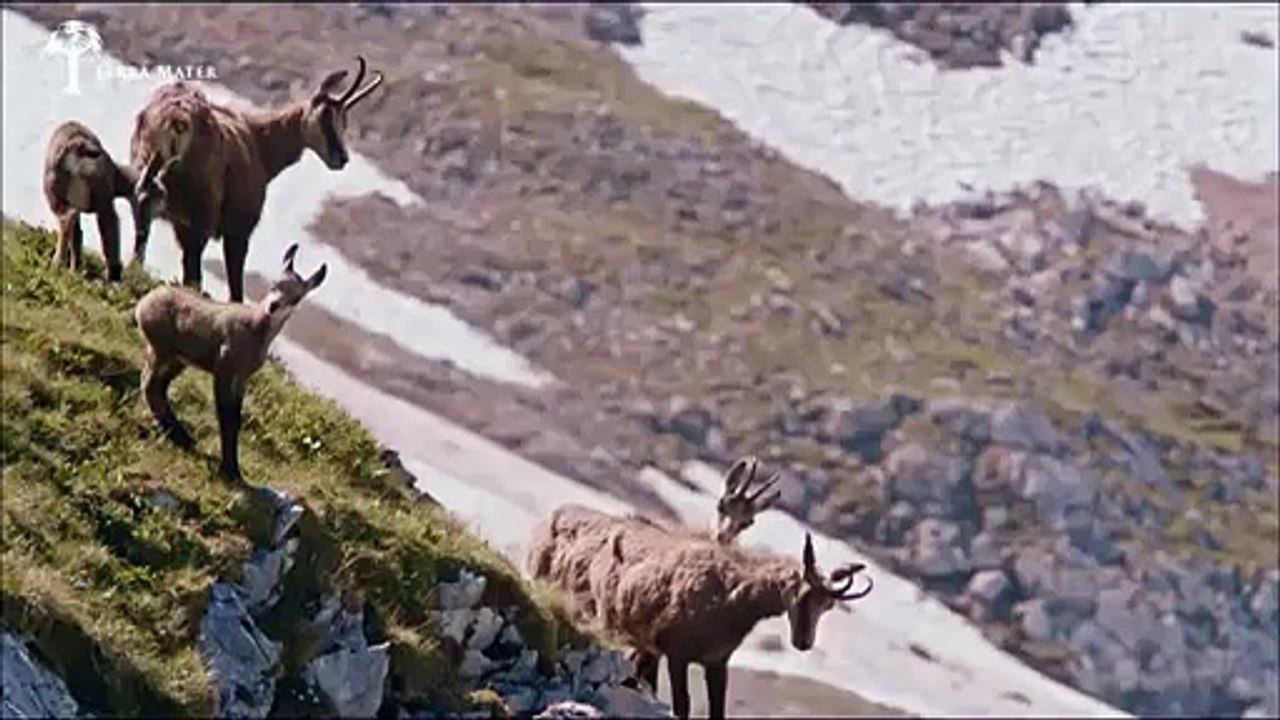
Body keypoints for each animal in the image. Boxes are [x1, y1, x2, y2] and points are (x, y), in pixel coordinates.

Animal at [43, 120, 163, 282]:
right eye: (147, 198)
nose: (143, 232)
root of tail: (79, 146)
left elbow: (78, 234)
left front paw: (75, 271)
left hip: (61, 196)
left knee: (70, 219)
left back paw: (58, 267)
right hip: (96, 197)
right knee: (105, 222)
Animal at [129, 56, 383, 302]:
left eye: (344, 121)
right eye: (326, 116)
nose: (342, 158)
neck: (259, 143)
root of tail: (176, 120)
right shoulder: (239, 225)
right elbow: (235, 284)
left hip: (148, 170)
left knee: (145, 208)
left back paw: (135, 269)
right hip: (201, 204)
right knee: (192, 257)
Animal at [133, 243, 327, 482]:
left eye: (296, 297)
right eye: (274, 284)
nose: (273, 306)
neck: (255, 330)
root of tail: (144, 302)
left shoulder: (242, 377)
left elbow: (236, 416)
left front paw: (233, 468)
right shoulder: (225, 368)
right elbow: (227, 416)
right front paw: (229, 469)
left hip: (178, 358)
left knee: (157, 385)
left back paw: (178, 433)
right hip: (162, 349)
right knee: (149, 382)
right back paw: (174, 433)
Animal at [602, 531, 872, 720]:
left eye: (827, 606)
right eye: (804, 594)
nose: (803, 642)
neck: (730, 601)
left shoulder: (717, 662)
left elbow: (717, 710)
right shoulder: (677, 655)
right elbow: (682, 705)